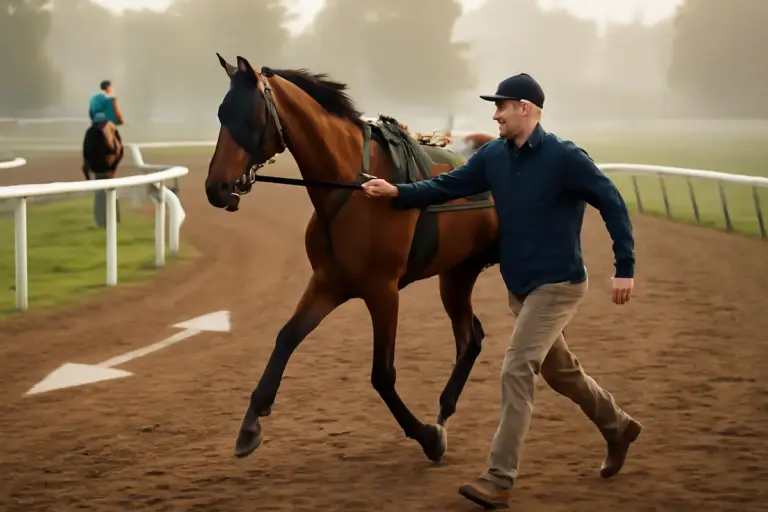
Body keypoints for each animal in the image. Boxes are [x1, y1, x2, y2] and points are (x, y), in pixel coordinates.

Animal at [205, 54, 501, 464]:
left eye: (246, 116)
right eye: (221, 113)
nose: (215, 188)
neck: (353, 185)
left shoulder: (382, 291)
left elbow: (382, 374)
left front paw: (426, 435)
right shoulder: (329, 282)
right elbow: (286, 337)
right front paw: (250, 425)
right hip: (457, 273)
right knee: (471, 338)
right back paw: (444, 409)